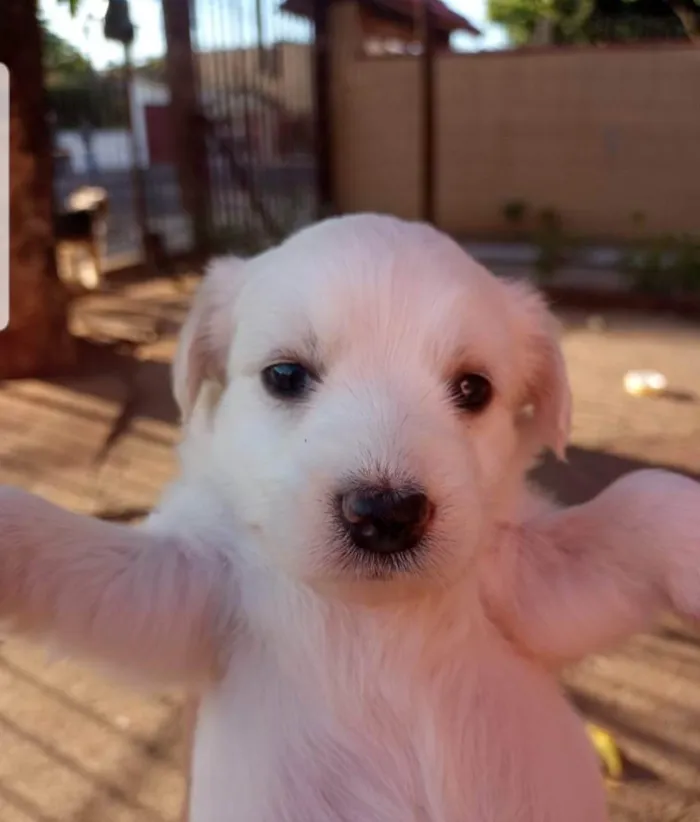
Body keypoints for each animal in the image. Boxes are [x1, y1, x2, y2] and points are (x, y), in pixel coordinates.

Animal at [1, 214, 700, 822]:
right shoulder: (188, 584)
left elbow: (643, 496)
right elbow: (82, 556)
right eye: (285, 375)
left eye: (473, 389)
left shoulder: (529, 582)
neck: (371, 612)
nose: (386, 513)